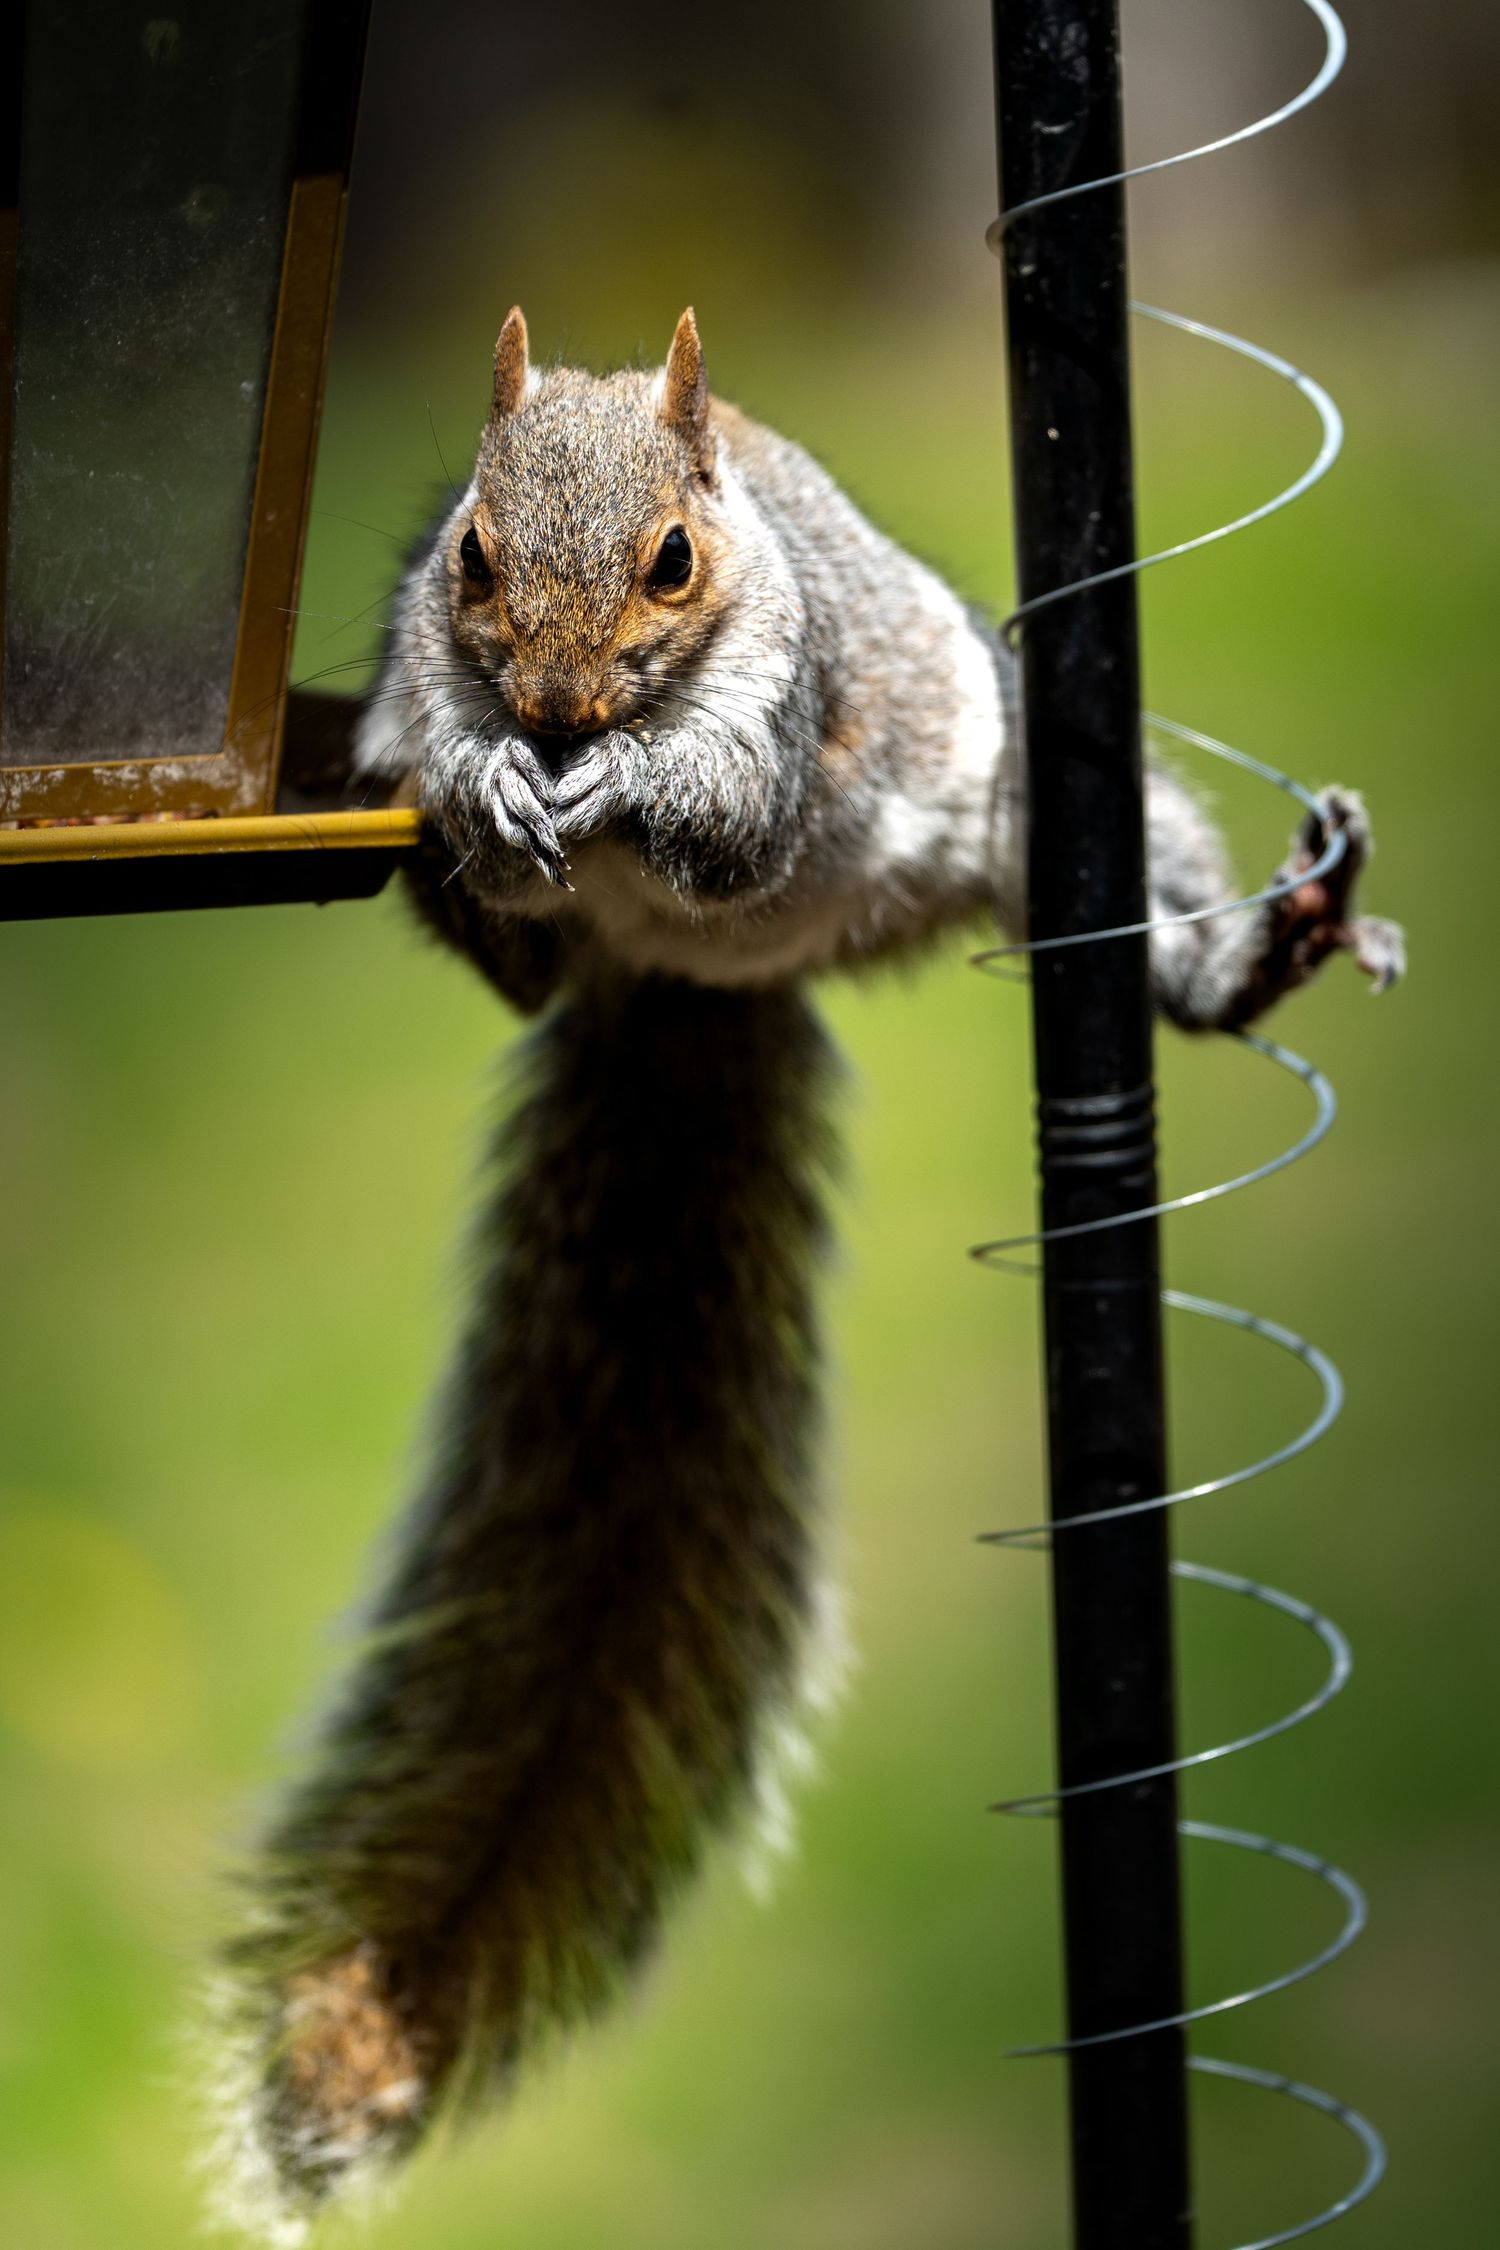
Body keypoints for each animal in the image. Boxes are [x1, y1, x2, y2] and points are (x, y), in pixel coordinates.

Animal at [211, 307, 1403, 2238]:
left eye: (676, 562)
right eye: (467, 556)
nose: (554, 714)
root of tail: (693, 984)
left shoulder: (783, 717)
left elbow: (729, 820)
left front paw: (630, 782)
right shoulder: (430, 671)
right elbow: (444, 765)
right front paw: (485, 778)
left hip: (1039, 811)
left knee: (1139, 923)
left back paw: (1253, 949)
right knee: (511, 960)